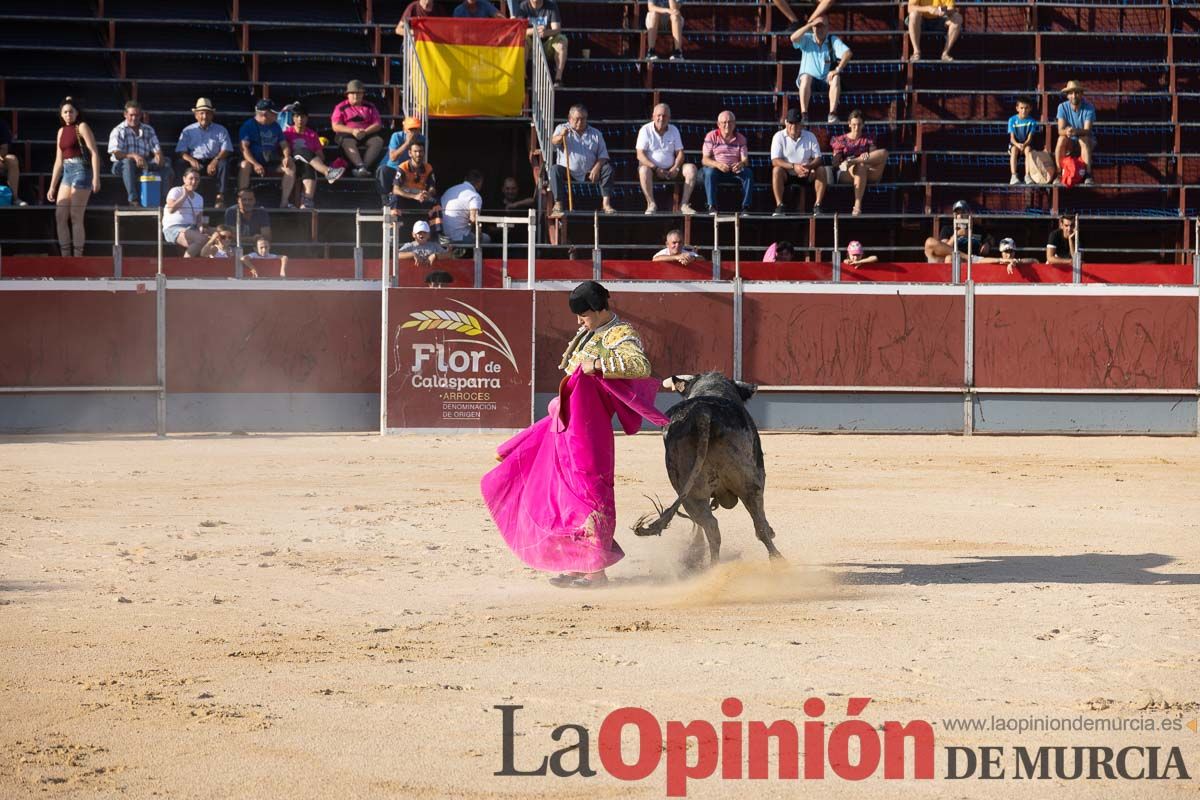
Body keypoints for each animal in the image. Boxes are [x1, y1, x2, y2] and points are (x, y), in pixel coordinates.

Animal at [633, 371, 782, 566]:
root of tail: (703, 412)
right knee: (758, 523)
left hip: (690, 492)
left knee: (710, 525)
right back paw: (778, 559)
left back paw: (711, 566)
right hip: (751, 481)